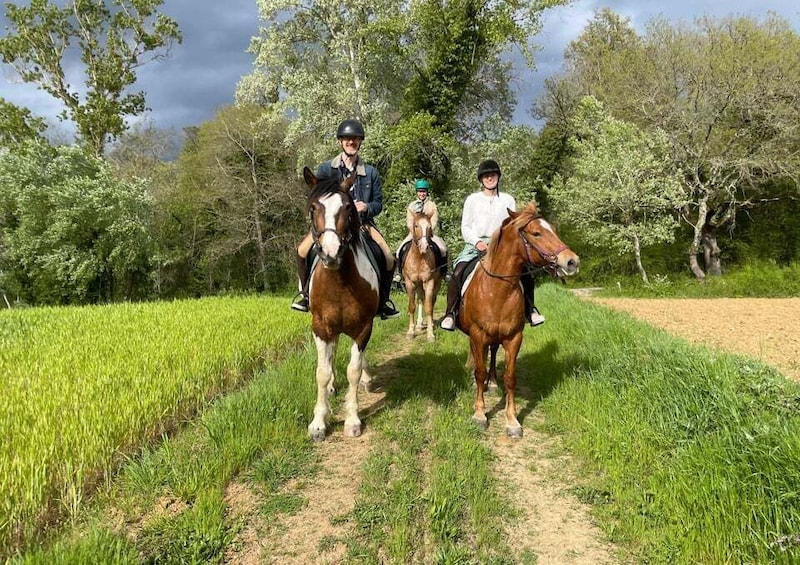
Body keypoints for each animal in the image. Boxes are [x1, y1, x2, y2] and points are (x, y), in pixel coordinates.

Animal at [302, 166, 380, 440]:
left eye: (347, 207)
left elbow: (353, 370)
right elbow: (322, 372)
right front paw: (318, 423)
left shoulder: (364, 328)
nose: (330, 253)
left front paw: (353, 420)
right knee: (332, 354)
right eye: (313, 208)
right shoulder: (320, 327)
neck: (340, 282)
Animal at [400, 212, 444, 342]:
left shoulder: (429, 282)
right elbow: (412, 306)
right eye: (415, 226)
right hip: (419, 284)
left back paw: (430, 324)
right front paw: (411, 332)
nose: (424, 246)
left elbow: (428, 307)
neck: (419, 257)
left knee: (432, 300)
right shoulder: (410, 283)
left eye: (429, 227)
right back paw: (419, 325)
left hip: (437, 283)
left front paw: (430, 334)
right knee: (420, 299)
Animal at [456, 203, 580, 436]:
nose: (572, 261)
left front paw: (512, 421)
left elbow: (510, 377)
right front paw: (480, 414)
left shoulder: (514, 337)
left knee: (492, 353)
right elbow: (479, 371)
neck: (498, 290)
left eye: (554, 229)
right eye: (536, 233)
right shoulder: (477, 334)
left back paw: (492, 382)